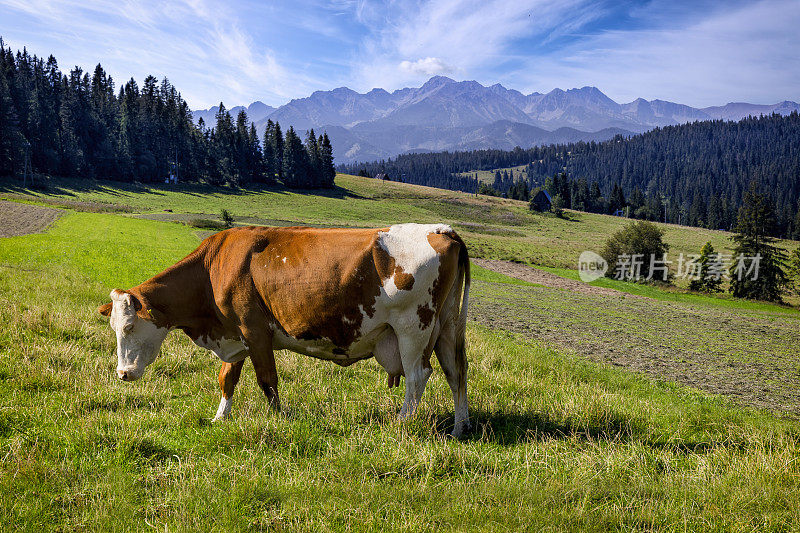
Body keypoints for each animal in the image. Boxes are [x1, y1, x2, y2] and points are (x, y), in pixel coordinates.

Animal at [101, 222, 476, 434]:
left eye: (130, 326)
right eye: (114, 328)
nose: (122, 374)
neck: (213, 266)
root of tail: (441, 229)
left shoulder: (254, 331)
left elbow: (267, 379)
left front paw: (278, 418)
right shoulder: (236, 333)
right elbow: (227, 378)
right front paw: (220, 417)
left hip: (413, 328)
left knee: (418, 376)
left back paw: (401, 424)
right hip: (445, 327)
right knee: (456, 371)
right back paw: (460, 427)